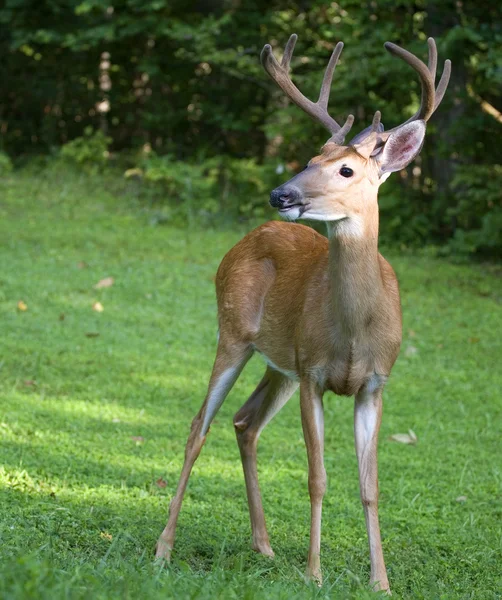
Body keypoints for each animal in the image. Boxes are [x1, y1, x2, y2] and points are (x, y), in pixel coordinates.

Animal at [154, 32, 452, 592]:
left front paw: (381, 582)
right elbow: (317, 477)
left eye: (346, 169)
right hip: (234, 334)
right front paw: (314, 573)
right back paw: (164, 548)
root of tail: (247, 238)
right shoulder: (314, 372)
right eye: (312, 157)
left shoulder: (374, 382)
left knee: (245, 423)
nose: (280, 193)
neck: (354, 333)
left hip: (280, 363)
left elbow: (370, 484)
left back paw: (264, 545)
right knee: (199, 426)